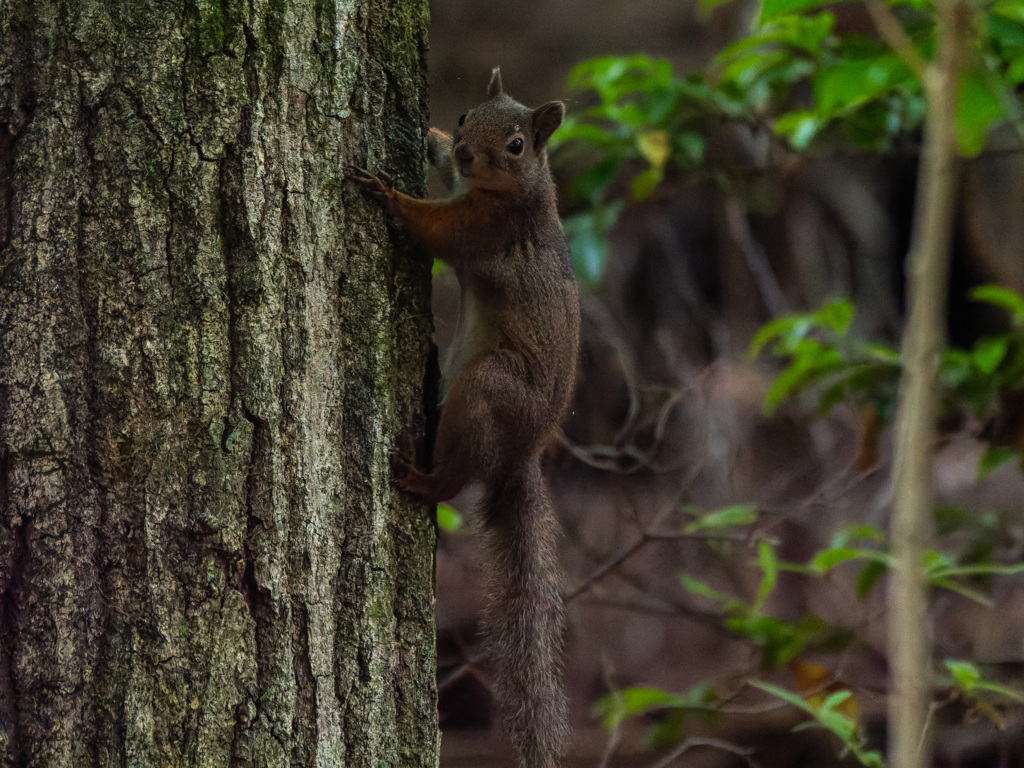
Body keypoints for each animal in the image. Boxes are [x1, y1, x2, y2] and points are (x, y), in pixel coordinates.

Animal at [350, 67, 577, 768]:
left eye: (516, 144)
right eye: (465, 114)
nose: (470, 154)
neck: (526, 189)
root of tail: (523, 452)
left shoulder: (483, 228)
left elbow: (434, 229)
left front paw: (389, 194)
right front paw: (432, 139)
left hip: (489, 390)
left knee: (458, 476)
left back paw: (423, 480)